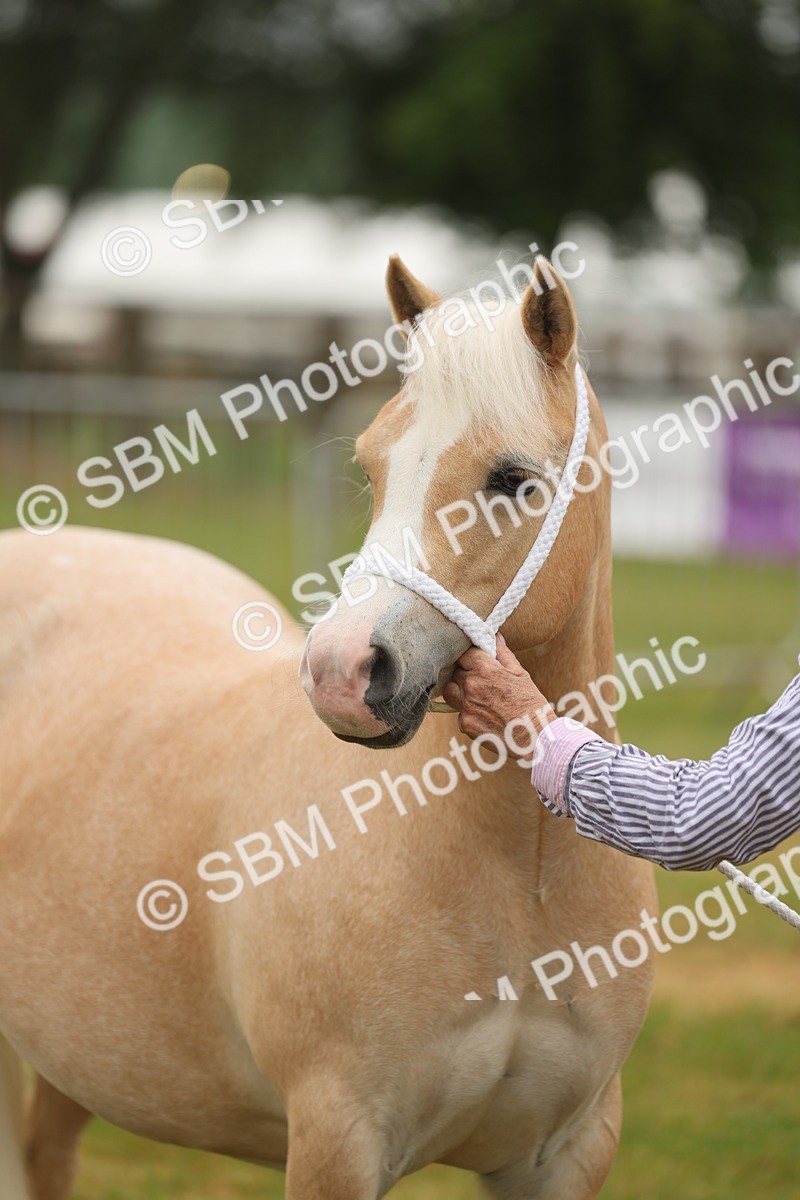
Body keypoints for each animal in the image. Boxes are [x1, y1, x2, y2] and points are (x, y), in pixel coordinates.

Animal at [0, 255, 655, 1199]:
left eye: (511, 478)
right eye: (372, 468)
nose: (343, 673)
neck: (523, 880)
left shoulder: (564, 1153)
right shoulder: (336, 1141)